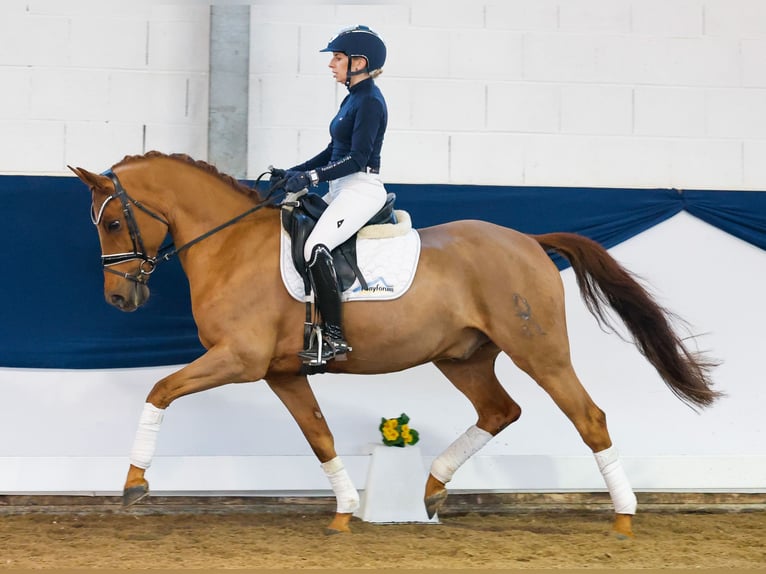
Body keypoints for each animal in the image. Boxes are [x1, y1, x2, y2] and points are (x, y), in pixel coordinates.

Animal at [69, 153, 724, 540]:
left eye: (112, 223)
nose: (119, 300)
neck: (231, 246)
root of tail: (529, 241)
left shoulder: (239, 360)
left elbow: (160, 389)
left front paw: (134, 481)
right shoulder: (282, 372)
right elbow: (319, 435)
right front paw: (345, 510)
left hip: (538, 350)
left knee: (588, 416)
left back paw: (624, 515)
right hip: (462, 356)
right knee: (499, 410)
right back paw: (429, 491)